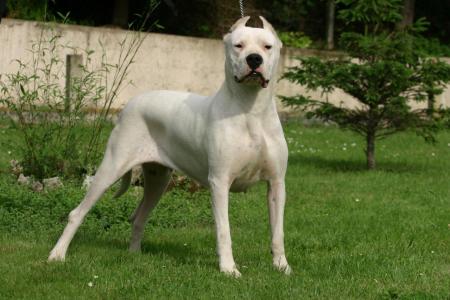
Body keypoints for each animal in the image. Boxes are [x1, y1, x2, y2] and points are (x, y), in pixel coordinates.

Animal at [48, 15, 292, 276]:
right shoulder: (220, 182)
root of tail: (131, 104)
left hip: (158, 181)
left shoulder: (277, 184)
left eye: (267, 46)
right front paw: (228, 269)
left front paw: (282, 266)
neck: (251, 109)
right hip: (111, 168)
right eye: (239, 45)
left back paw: (134, 254)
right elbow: (224, 231)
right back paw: (57, 254)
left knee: (138, 217)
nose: (254, 59)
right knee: (77, 213)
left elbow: (278, 231)